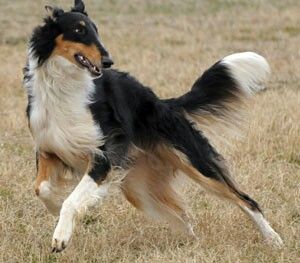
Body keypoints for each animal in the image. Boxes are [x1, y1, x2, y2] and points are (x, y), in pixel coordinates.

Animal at [22, 0, 282, 253]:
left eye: (96, 31)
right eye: (79, 30)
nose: (108, 61)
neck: (63, 86)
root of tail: (163, 103)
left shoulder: (103, 157)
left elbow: (71, 200)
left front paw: (61, 236)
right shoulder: (50, 149)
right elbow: (41, 188)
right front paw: (56, 210)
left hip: (194, 163)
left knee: (245, 200)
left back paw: (274, 240)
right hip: (139, 188)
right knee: (183, 217)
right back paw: (190, 244)